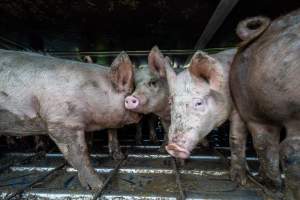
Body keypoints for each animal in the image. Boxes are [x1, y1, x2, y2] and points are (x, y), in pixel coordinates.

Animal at [0, 49, 141, 190]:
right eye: (131, 90)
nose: (140, 115)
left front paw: (119, 157)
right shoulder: (63, 121)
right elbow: (80, 153)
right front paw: (98, 185)